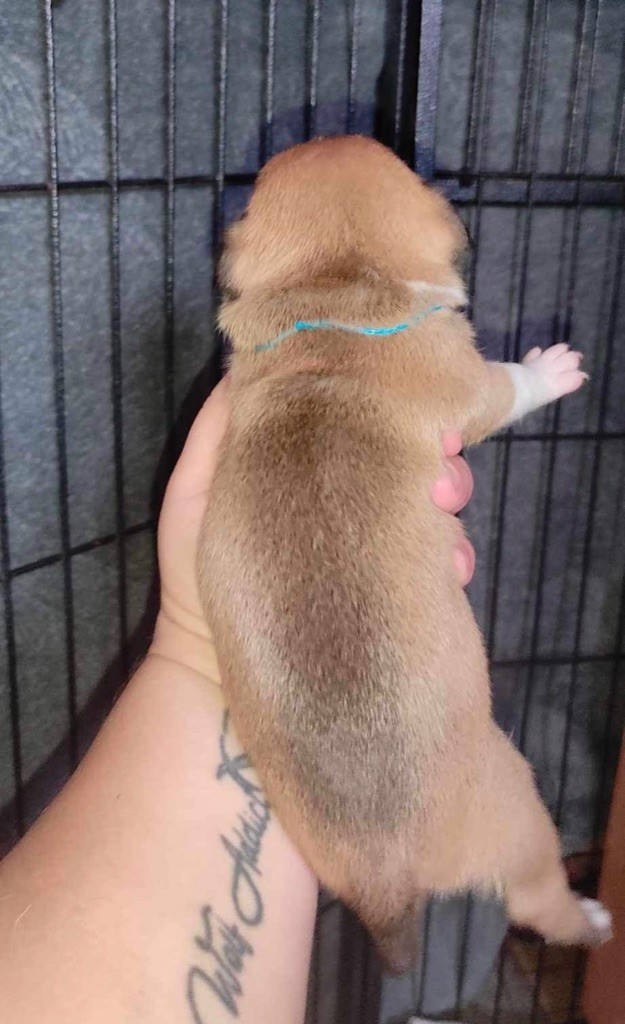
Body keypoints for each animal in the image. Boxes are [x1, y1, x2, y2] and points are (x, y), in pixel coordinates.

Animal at [198, 135, 612, 974]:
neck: (328, 292)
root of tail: (387, 882)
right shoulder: (468, 381)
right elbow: (506, 387)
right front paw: (550, 368)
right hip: (519, 804)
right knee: (538, 900)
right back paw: (588, 918)